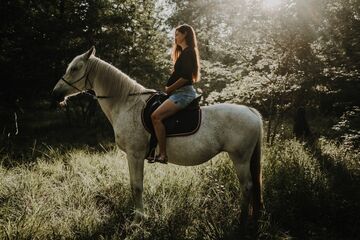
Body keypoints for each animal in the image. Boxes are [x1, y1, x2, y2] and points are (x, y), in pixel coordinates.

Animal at [51, 47, 264, 225]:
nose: (55, 93)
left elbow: (137, 186)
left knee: (247, 187)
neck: (127, 104)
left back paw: (241, 220)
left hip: (240, 158)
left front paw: (138, 219)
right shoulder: (134, 156)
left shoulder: (135, 154)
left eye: (75, 68)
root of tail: (251, 112)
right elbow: (134, 185)